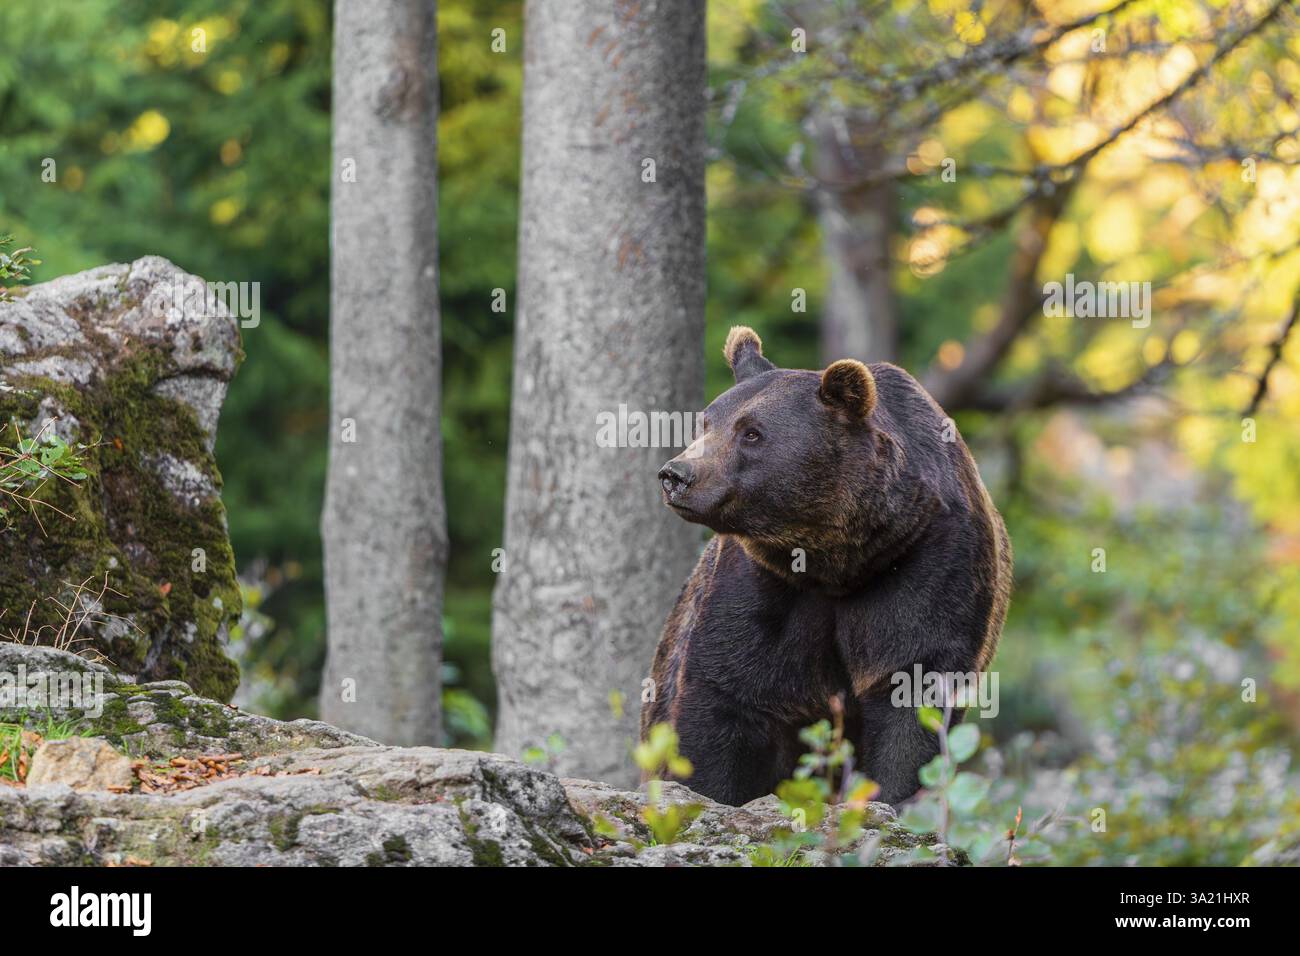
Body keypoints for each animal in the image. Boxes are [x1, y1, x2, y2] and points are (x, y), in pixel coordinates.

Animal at [640, 326, 1011, 806]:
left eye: (752, 433)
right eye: (705, 423)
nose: (676, 475)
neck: (837, 558)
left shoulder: (932, 562)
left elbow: (913, 689)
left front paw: (895, 798)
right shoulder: (759, 581)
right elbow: (723, 696)